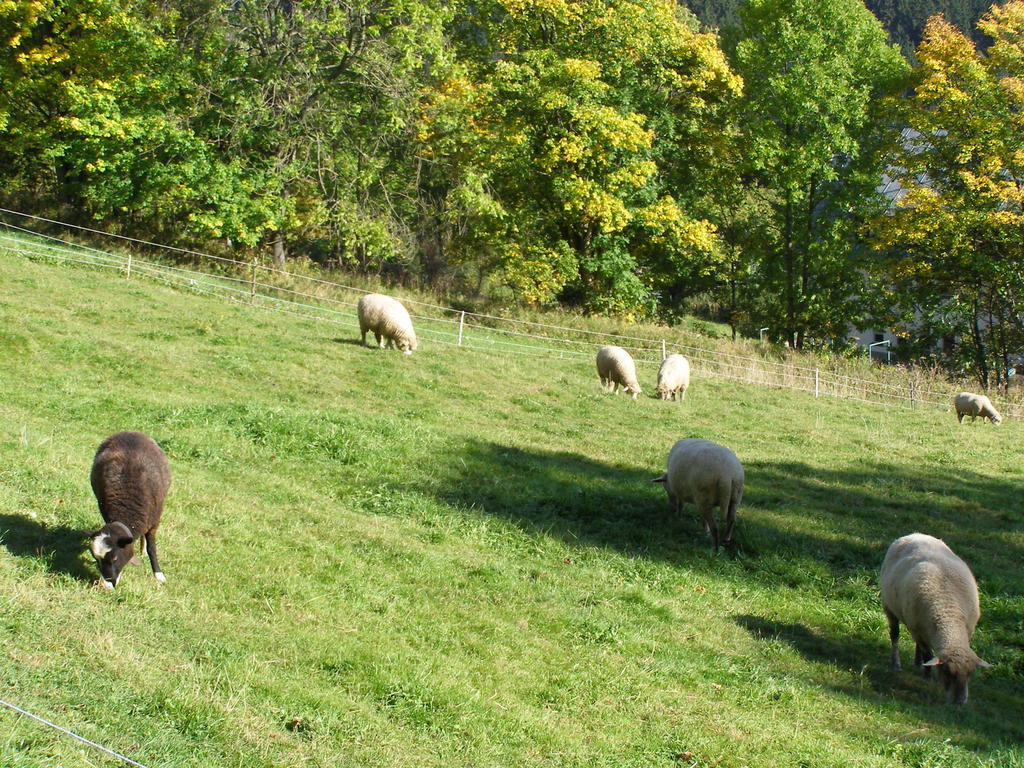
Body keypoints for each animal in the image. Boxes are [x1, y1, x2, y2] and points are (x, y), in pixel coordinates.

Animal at [87, 434, 171, 589]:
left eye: (114, 558)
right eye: (96, 558)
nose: (108, 585)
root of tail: (131, 432)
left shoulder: (155, 520)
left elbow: (152, 548)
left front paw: (158, 574)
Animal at [876, 536, 987, 704]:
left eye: (970, 674)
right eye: (947, 672)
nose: (959, 702)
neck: (950, 616)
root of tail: (915, 534)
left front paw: (923, 668)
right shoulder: (917, 628)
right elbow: (928, 653)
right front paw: (927, 677)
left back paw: (917, 663)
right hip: (889, 606)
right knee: (895, 635)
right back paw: (896, 664)